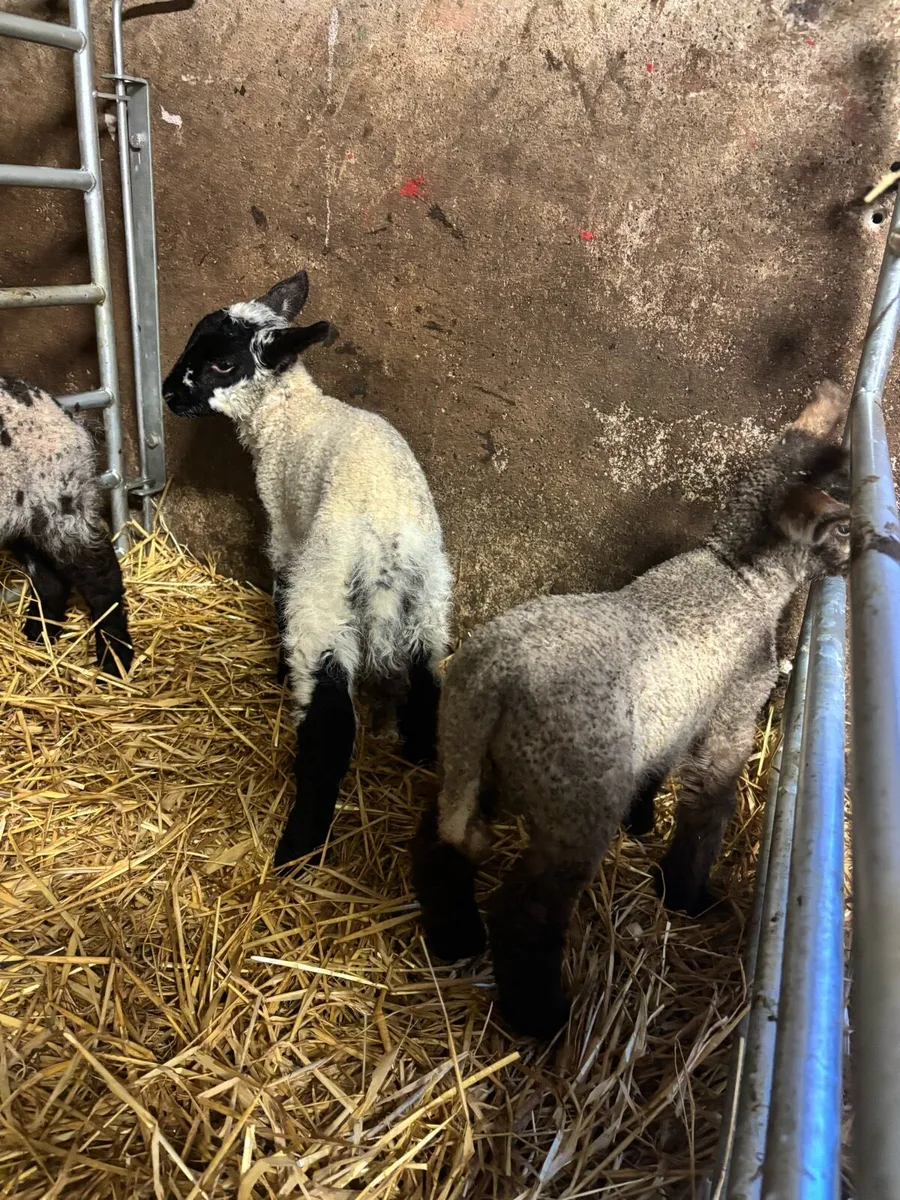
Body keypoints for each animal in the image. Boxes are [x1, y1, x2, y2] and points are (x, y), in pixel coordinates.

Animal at [0, 375, 132, 676]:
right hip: (25, 512)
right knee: (49, 579)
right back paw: (40, 634)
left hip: (60, 496)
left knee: (102, 576)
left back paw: (114, 658)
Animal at [162, 269, 452, 867]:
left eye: (222, 364)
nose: (168, 394)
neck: (289, 416)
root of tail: (385, 552)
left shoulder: (284, 528)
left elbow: (277, 580)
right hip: (431, 602)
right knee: (426, 682)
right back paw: (416, 755)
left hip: (323, 598)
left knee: (330, 724)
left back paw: (297, 849)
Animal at [411, 383, 851, 1039]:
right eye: (840, 522)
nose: (868, 550)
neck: (737, 573)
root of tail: (493, 678)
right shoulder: (729, 717)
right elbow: (708, 803)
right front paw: (686, 893)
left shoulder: (673, 711)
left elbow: (659, 766)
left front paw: (642, 820)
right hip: (576, 797)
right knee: (527, 912)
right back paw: (542, 1018)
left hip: (468, 754)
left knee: (440, 841)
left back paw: (454, 938)